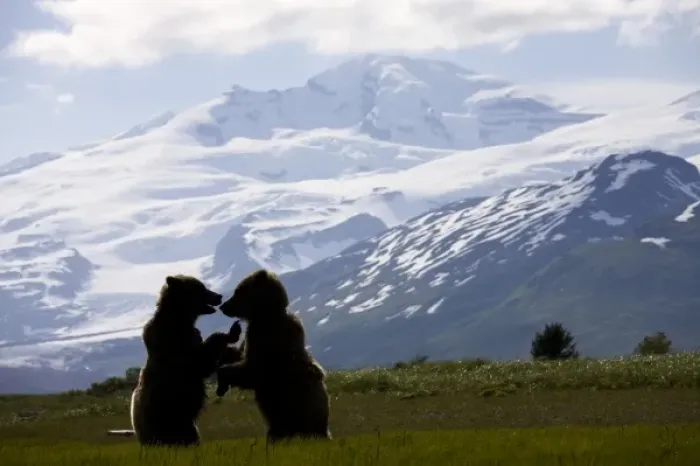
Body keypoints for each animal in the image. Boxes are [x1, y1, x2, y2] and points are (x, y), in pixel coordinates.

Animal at [129, 274, 237, 447]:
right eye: (200, 288)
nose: (219, 296)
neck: (180, 319)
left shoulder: (191, 335)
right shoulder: (176, 346)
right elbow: (200, 363)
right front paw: (230, 333)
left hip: (184, 423)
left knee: (193, 436)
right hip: (167, 417)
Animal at [215, 269, 332, 444]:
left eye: (238, 291)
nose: (223, 306)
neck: (264, 314)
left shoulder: (268, 341)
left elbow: (252, 371)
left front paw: (221, 384)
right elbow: (241, 356)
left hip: (296, 410)